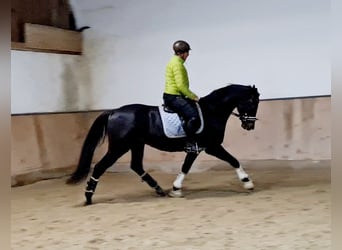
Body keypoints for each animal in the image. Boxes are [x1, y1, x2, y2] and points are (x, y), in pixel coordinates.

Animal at [66, 83, 260, 204]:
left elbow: (185, 167)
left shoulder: (196, 150)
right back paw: (88, 197)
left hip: (136, 144)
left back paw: (158, 189)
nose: (249, 125)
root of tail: (113, 111)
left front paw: (175, 189)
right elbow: (233, 160)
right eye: (253, 102)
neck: (211, 111)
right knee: (100, 167)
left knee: (136, 165)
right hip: (119, 147)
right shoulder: (211, 147)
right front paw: (248, 182)